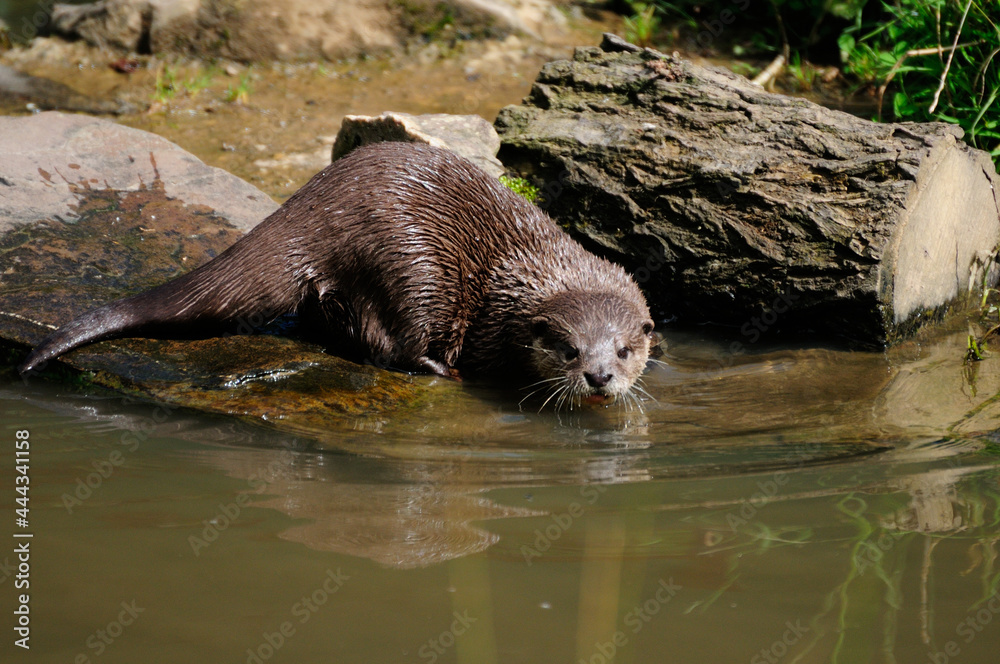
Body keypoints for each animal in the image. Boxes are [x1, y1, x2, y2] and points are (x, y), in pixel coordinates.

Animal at [19, 142, 655, 409]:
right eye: (569, 350)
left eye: (623, 351)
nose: (599, 377)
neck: (539, 275)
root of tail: (312, 208)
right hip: (413, 262)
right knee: (392, 344)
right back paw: (439, 369)